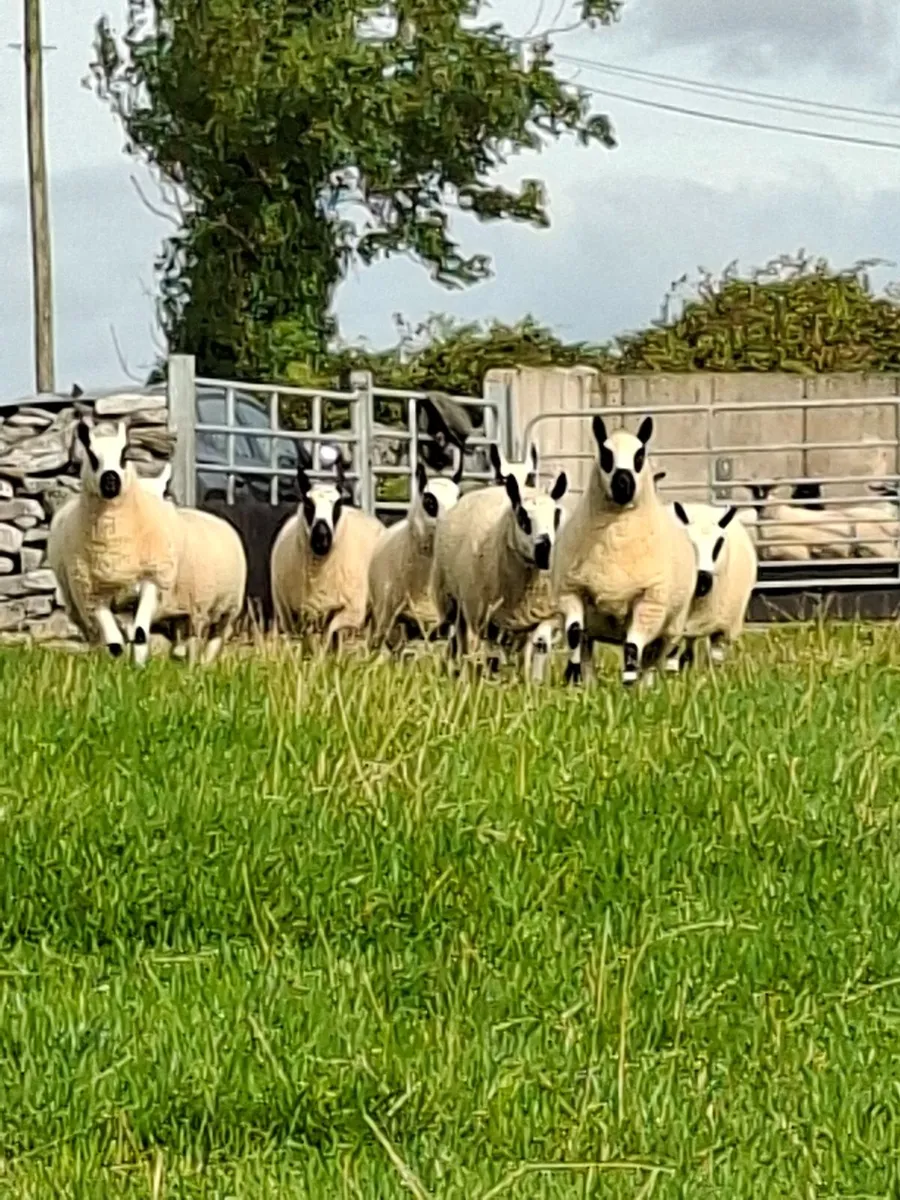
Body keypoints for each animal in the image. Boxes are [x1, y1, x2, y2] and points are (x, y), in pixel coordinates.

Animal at [47, 419, 180, 664]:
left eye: (124, 455)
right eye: (92, 456)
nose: (111, 480)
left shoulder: (150, 581)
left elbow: (140, 633)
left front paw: (138, 666)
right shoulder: (92, 594)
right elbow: (115, 642)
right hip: (75, 598)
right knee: (93, 633)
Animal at [270, 464, 384, 649]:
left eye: (338, 504)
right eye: (308, 504)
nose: (321, 538)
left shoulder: (352, 610)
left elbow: (328, 636)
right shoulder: (290, 614)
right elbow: (305, 643)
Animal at [431, 470, 568, 682]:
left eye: (556, 515)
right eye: (522, 516)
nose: (544, 551)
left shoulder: (540, 615)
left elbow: (539, 646)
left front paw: (531, 682)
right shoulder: (478, 615)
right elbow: (480, 651)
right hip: (453, 601)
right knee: (460, 640)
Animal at [551, 415, 696, 688]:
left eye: (640, 455)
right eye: (606, 454)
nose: (623, 485)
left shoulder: (648, 603)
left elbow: (631, 647)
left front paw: (628, 686)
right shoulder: (570, 590)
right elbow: (575, 634)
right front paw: (574, 677)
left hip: (671, 626)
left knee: (653, 657)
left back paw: (644, 685)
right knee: (586, 647)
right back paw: (589, 683)